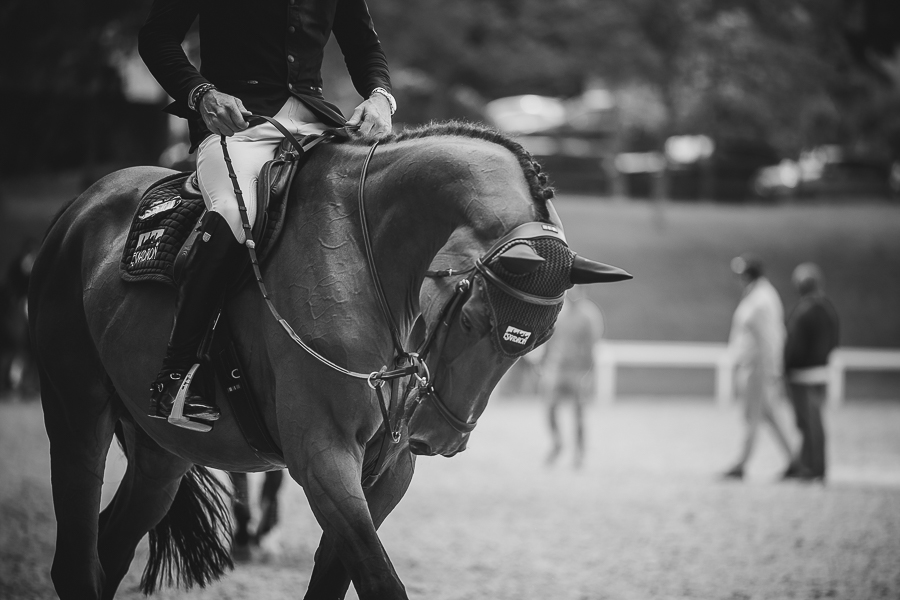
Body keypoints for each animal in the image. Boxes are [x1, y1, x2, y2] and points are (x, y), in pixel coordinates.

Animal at [29, 121, 630, 600]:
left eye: (536, 341)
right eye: (471, 320)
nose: (442, 437)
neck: (367, 258)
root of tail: (82, 205)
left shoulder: (388, 468)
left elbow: (336, 576)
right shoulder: (323, 456)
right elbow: (379, 580)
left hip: (162, 453)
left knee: (110, 546)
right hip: (77, 412)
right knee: (76, 560)